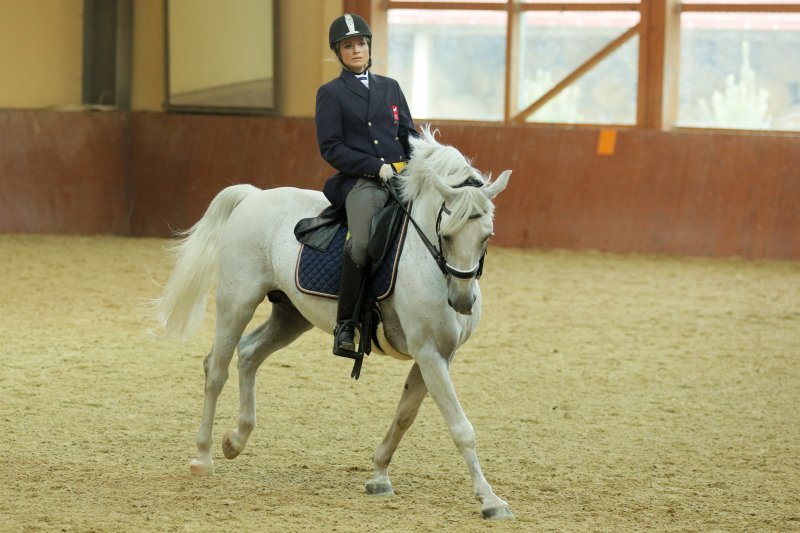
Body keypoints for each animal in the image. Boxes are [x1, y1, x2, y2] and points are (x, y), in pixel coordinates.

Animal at [152, 127, 512, 516]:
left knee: (248, 354)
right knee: (216, 369)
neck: (426, 257)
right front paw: (490, 499)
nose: (462, 302)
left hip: (291, 314)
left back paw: (235, 440)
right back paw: (203, 457)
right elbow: (461, 427)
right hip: (237, 301)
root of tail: (254, 196)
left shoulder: (440, 354)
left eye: (487, 236)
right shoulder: (428, 351)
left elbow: (405, 414)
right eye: (446, 234)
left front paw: (379, 476)